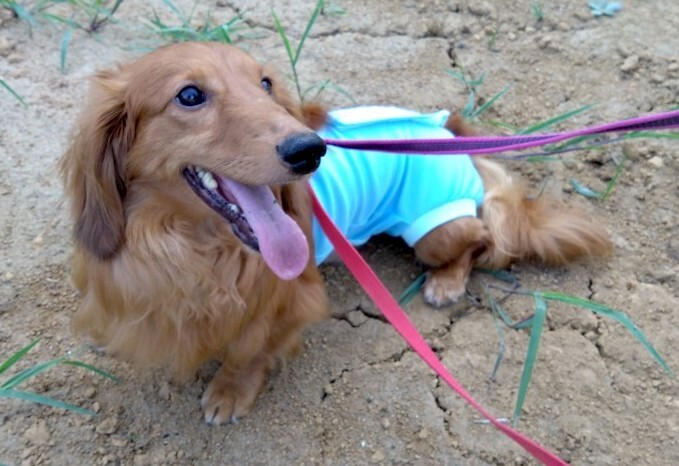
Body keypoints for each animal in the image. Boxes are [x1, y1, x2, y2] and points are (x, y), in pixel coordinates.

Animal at [61, 42, 612, 425]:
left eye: (266, 84)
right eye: (189, 96)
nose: (310, 149)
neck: (192, 250)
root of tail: (448, 134)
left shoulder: (289, 302)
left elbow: (248, 351)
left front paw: (229, 391)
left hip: (434, 229)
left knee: (483, 239)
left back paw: (446, 283)